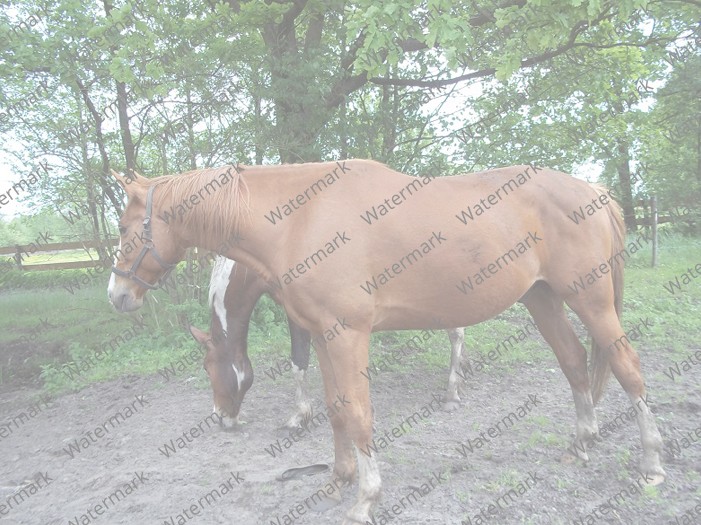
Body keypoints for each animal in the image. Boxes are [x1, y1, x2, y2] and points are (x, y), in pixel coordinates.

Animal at [189, 255, 467, 429]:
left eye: (206, 368)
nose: (220, 418)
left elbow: (298, 362)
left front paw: (299, 417)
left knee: (456, 332)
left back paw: (452, 395)